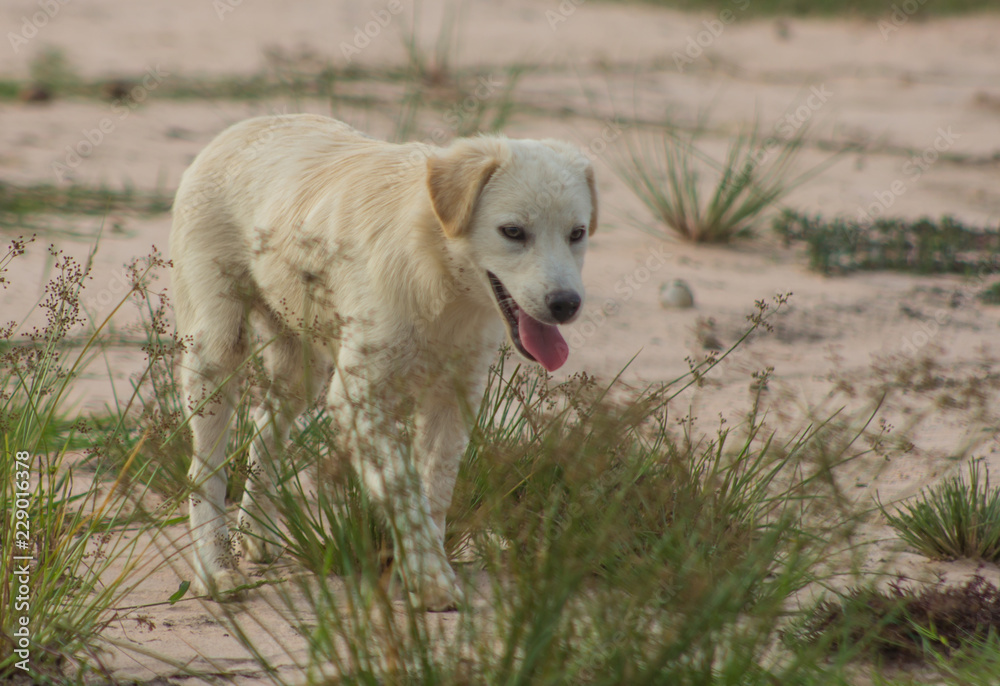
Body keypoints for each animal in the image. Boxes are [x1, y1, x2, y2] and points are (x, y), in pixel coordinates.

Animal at [169, 114, 596, 612]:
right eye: (513, 232)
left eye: (576, 234)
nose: (566, 304)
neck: (438, 277)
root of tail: (245, 124)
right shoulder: (359, 397)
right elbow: (403, 488)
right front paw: (430, 578)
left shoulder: (454, 398)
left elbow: (434, 492)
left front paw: (424, 575)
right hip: (216, 353)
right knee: (205, 471)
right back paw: (215, 568)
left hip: (302, 368)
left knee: (263, 431)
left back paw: (255, 535)